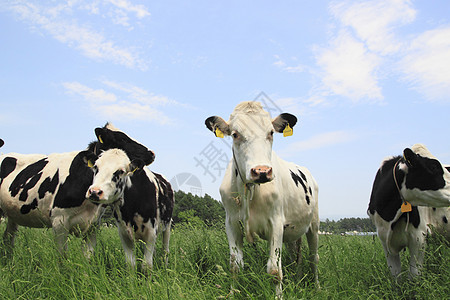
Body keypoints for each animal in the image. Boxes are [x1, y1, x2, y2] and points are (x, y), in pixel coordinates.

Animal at [0, 123, 155, 256]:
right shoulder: (59, 222)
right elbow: (62, 258)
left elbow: (88, 257)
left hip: (12, 216)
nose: (152, 153)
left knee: (8, 239)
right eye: (122, 138)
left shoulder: (93, 225)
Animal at [204, 101, 320, 296]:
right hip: (292, 230)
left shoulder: (276, 222)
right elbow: (235, 265)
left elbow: (274, 269)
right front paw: (232, 294)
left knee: (313, 257)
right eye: (235, 134)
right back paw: (297, 279)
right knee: (296, 255)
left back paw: (317, 286)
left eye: (271, 132)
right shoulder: (231, 223)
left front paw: (278, 296)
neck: (250, 191)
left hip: (314, 224)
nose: (262, 171)